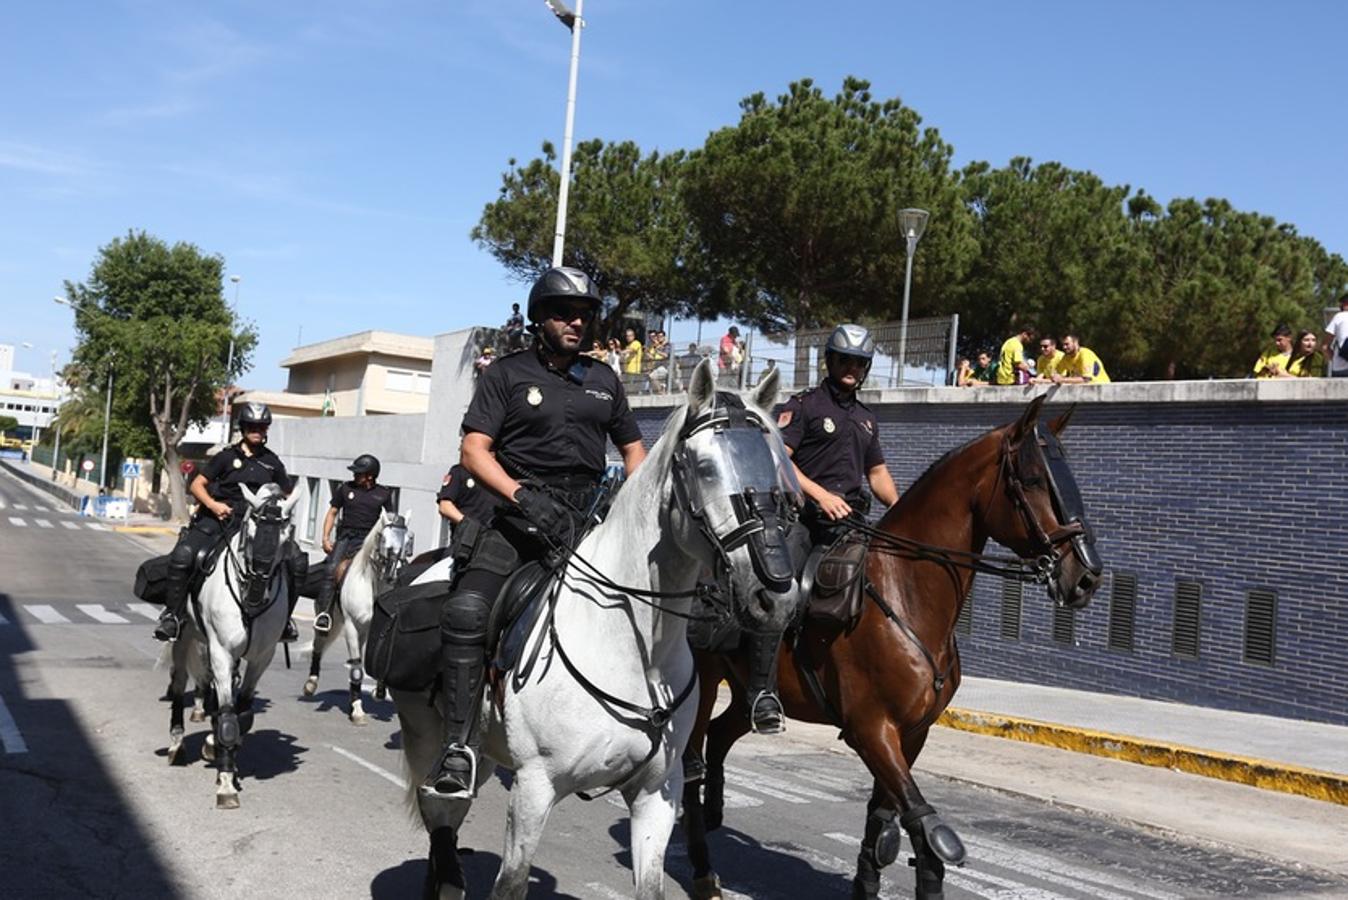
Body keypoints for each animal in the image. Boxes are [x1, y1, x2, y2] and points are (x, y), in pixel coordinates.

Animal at [165, 485, 300, 808]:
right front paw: (226, 782)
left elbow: (243, 714)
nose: (255, 593)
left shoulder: (262, 657)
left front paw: (218, 749)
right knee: (178, 686)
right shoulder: (221, 652)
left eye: (285, 539)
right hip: (185, 637)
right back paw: (176, 745)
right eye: (250, 534)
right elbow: (228, 714)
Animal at [304, 511, 412, 722]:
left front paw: (378, 693)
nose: (392, 574)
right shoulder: (352, 627)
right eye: (383, 538)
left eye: (408, 541)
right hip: (331, 620)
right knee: (318, 645)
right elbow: (356, 667)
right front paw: (357, 709)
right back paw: (311, 683)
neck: (372, 587)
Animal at [396, 361, 798, 894]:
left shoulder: (657, 793)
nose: (775, 595)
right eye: (705, 468)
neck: (637, 652)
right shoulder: (534, 787)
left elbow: (651, 883)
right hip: (428, 735)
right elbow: (512, 882)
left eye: (776, 466)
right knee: (439, 808)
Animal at [679, 396, 1099, 900]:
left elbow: (882, 822)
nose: (1086, 576)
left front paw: (866, 883)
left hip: (745, 691)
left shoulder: (912, 733)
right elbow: (927, 832)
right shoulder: (872, 730)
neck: (906, 594)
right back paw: (702, 870)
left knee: (720, 735)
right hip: (703, 682)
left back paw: (716, 808)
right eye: (1034, 480)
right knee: (690, 762)